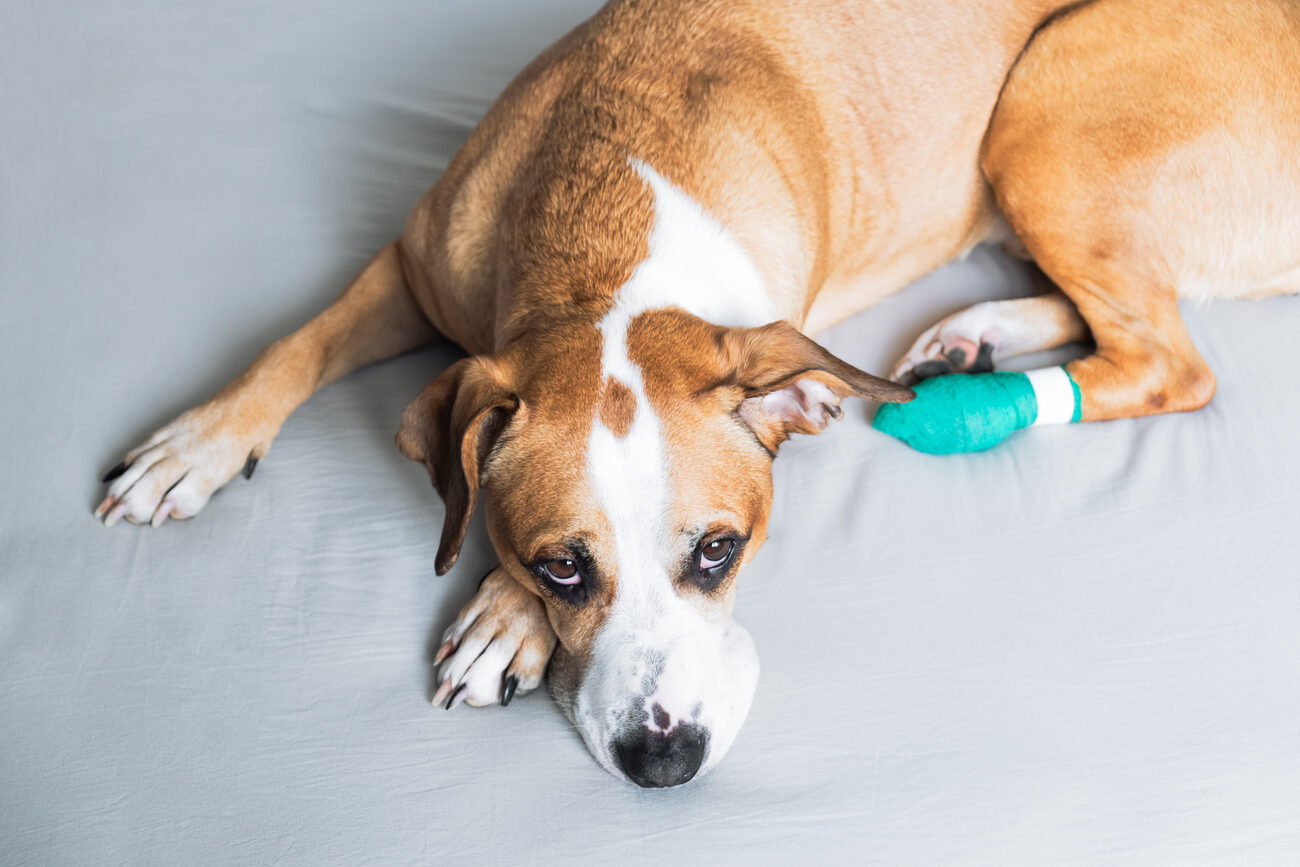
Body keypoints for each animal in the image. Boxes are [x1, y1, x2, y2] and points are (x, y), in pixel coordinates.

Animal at [94, 0, 1300, 785]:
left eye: (721, 551)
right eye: (561, 565)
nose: (662, 757)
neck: (607, 238)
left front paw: (495, 623)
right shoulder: (410, 265)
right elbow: (293, 344)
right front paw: (194, 446)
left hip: (1047, 101)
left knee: (1168, 359)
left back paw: (978, 396)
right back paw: (976, 339)